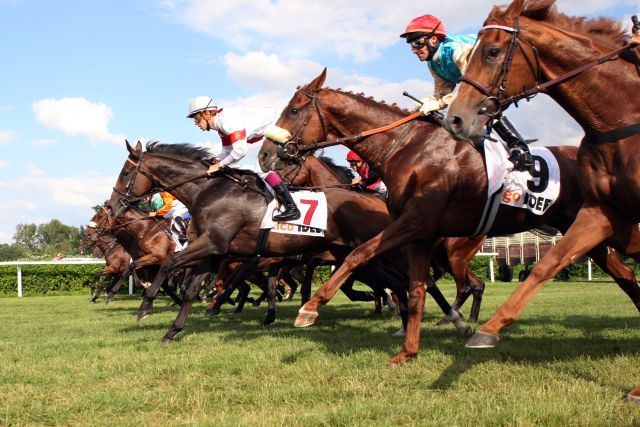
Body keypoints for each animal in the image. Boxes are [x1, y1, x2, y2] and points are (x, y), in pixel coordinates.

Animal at [105, 142, 470, 342]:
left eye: (125, 173)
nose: (112, 206)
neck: (209, 191)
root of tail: (382, 204)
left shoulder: (213, 245)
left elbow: (169, 263)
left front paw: (145, 307)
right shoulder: (216, 252)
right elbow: (194, 288)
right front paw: (173, 331)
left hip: (377, 255)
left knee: (415, 283)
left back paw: (449, 321)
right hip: (356, 257)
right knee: (400, 285)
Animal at [258, 69, 640, 364]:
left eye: (294, 109)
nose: (264, 156)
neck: (409, 146)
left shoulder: (415, 223)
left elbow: (360, 256)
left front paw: (310, 309)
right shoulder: (419, 234)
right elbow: (413, 288)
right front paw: (407, 349)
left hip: (467, 250)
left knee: (473, 283)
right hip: (593, 233)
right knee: (623, 275)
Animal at [444, 0, 640, 352]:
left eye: (492, 52)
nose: (455, 118)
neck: (620, 115)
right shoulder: (601, 211)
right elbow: (548, 263)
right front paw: (487, 329)